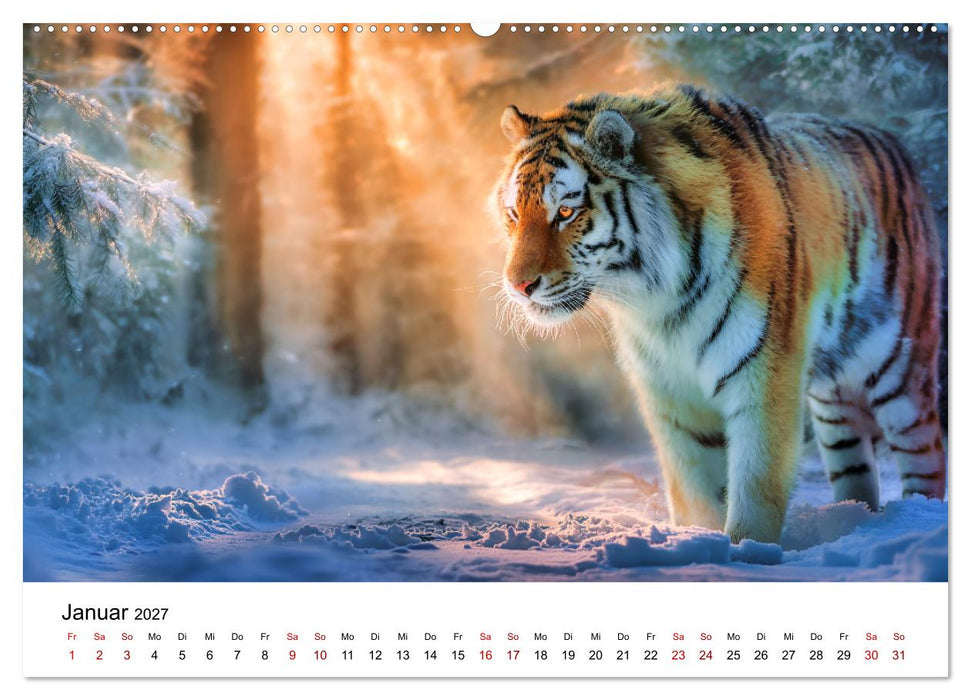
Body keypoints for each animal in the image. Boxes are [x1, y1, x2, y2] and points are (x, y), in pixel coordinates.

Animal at [492, 84, 945, 544]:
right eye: (514, 214)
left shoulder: (764, 376)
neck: (658, 301)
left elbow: (756, 487)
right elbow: (694, 492)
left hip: (902, 376)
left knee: (928, 456)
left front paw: (747, 549)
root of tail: (892, 142)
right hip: (834, 404)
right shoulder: (669, 394)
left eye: (566, 212)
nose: (518, 285)